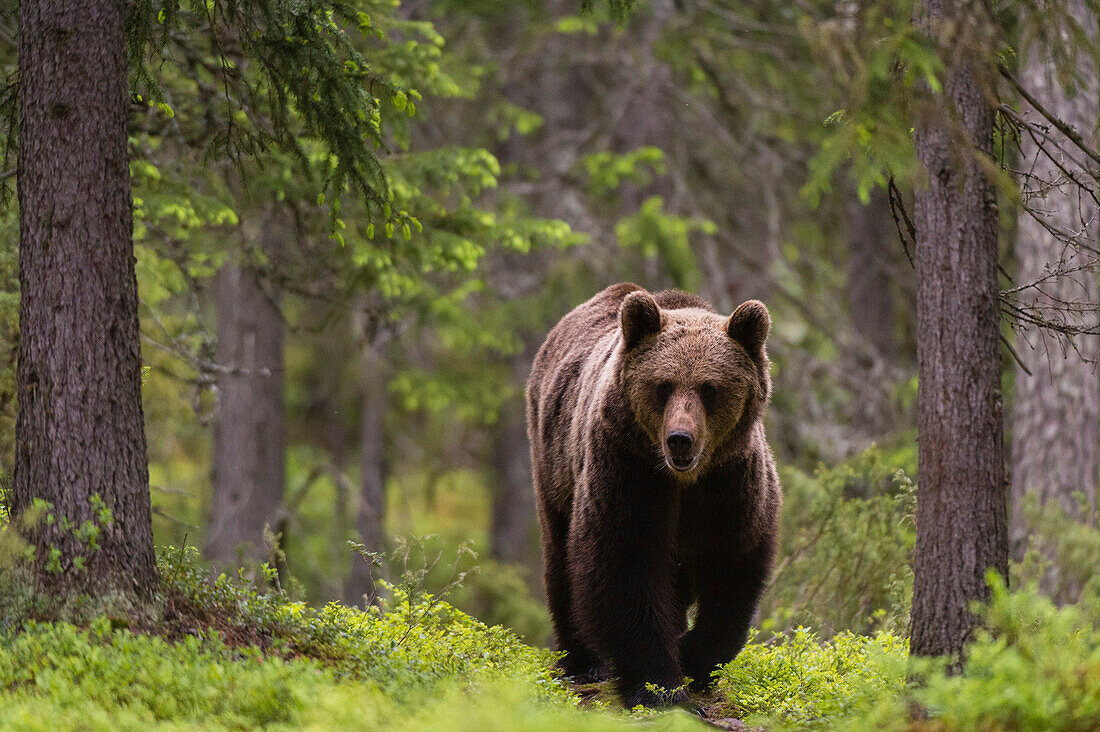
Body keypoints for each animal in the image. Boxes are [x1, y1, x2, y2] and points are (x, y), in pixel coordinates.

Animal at [525, 281, 778, 704]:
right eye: (663, 385)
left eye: (710, 388)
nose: (680, 439)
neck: (684, 481)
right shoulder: (628, 468)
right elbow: (625, 564)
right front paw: (659, 687)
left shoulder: (730, 482)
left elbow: (732, 566)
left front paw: (693, 658)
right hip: (553, 463)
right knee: (560, 556)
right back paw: (582, 660)